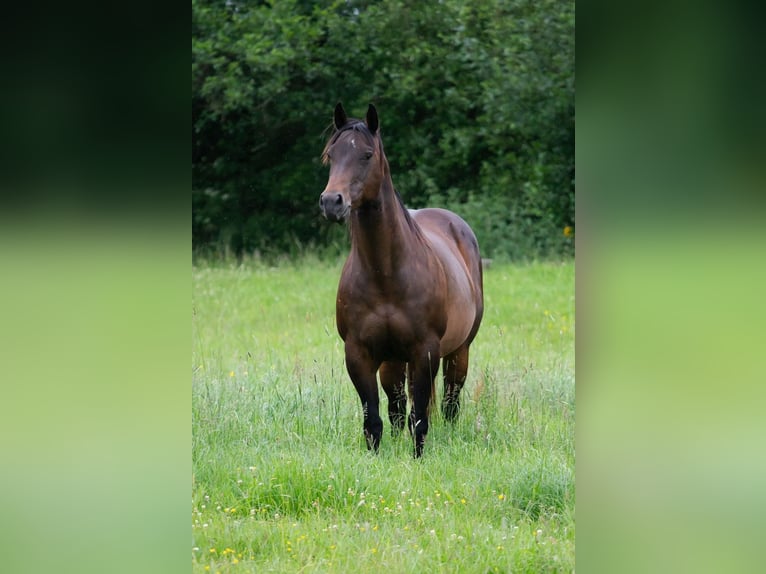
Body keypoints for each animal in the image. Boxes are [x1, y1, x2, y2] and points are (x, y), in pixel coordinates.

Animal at [319, 102, 484, 457]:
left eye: (367, 155)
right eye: (331, 155)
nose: (331, 202)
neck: (385, 275)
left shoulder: (425, 351)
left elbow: (419, 418)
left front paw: (418, 459)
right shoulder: (359, 354)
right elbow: (374, 420)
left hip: (458, 350)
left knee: (449, 402)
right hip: (393, 361)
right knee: (396, 407)